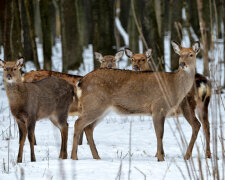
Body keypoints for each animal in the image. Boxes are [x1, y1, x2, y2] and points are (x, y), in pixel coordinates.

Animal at [71, 41, 200, 162]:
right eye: (180, 55)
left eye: (191, 54)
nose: (182, 64)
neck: (174, 86)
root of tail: (81, 82)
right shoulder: (158, 107)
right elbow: (159, 134)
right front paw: (160, 158)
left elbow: (159, 134)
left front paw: (160, 157)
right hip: (94, 104)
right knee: (78, 123)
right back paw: (74, 157)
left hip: (102, 108)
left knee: (88, 127)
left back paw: (96, 157)